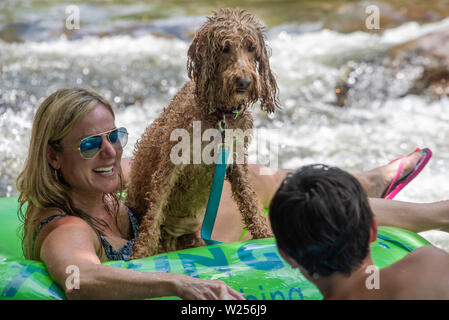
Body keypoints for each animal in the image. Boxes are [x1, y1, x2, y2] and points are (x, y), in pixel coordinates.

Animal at [126, 7, 278, 258]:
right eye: (225, 47)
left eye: (251, 47)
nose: (245, 81)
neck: (220, 115)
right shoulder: (170, 165)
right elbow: (155, 212)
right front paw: (140, 253)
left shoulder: (235, 160)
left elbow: (250, 202)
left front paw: (264, 236)